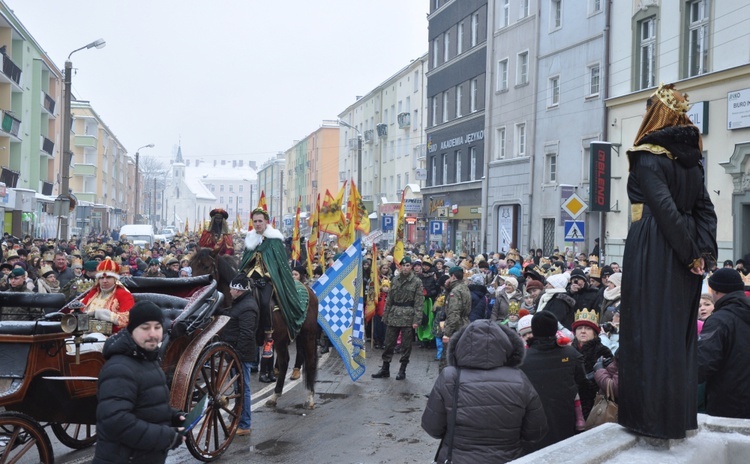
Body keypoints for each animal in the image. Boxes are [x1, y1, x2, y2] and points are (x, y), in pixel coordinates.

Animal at [189, 248, 318, 408]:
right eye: (191, 266)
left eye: (206, 266)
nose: (194, 295)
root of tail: (309, 290)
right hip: (282, 338)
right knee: (284, 362)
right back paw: (275, 396)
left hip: (308, 334)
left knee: (310, 361)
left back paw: (309, 397)